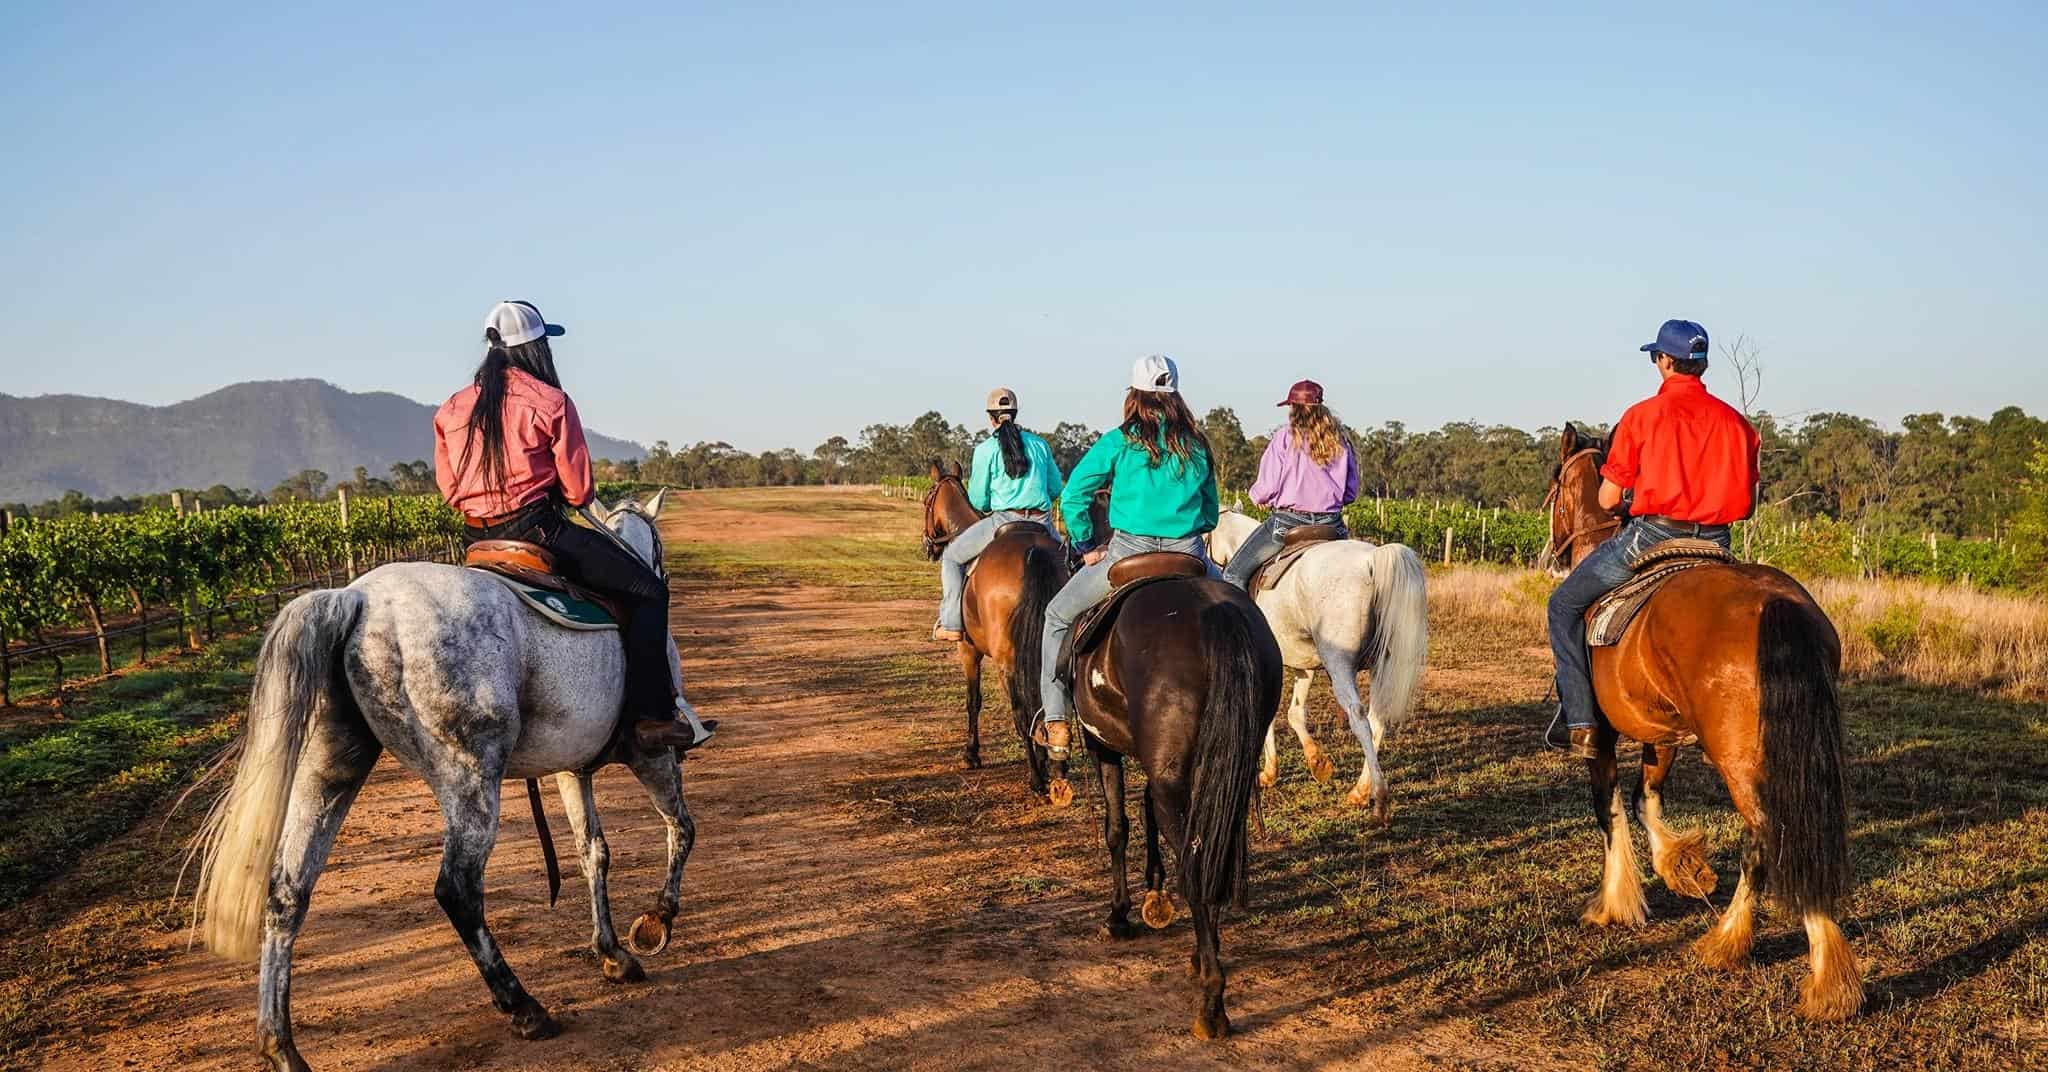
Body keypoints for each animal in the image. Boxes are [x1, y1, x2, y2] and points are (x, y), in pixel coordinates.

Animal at [192, 493, 704, 1072]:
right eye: (657, 548)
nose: (662, 571)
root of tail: (355, 599)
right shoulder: (652, 753)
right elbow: (681, 829)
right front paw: (657, 921)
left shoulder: (571, 768)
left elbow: (593, 853)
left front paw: (613, 952)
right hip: (470, 777)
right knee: (457, 888)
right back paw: (523, 1007)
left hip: (330, 765)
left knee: (287, 889)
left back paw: (280, 1045)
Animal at [917, 457, 1073, 799]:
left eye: (926, 500)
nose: (928, 547)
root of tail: (1033, 551)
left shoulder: (968, 651)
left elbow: (973, 701)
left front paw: (971, 754)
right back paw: (1054, 764)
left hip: (1007, 661)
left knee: (1021, 710)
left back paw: (1036, 778)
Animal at [1015, 545, 1286, 1041]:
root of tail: (1214, 613)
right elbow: (1147, 816)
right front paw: (1154, 895)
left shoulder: (1103, 746)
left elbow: (1117, 827)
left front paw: (1120, 914)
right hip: (1225, 769)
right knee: (1211, 856)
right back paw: (1202, 959)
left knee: (1195, 866)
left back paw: (1211, 1004)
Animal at [1196, 512, 1425, 823]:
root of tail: (1372, 560)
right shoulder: (1303, 666)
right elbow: (1294, 713)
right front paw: (1316, 762)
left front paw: (1270, 771)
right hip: (1381, 665)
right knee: (1378, 719)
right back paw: (1361, 789)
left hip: (1340, 665)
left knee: (1359, 718)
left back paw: (1378, 798)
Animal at [1540, 424, 1867, 1020]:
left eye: (1555, 488)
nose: (1551, 554)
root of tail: (1777, 604)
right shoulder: (1662, 733)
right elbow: (1646, 797)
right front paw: (1683, 867)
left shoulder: (1601, 734)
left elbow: (1609, 808)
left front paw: (1614, 903)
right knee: (1779, 838)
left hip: (1739, 756)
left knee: (1767, 836)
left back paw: (1780, 960)